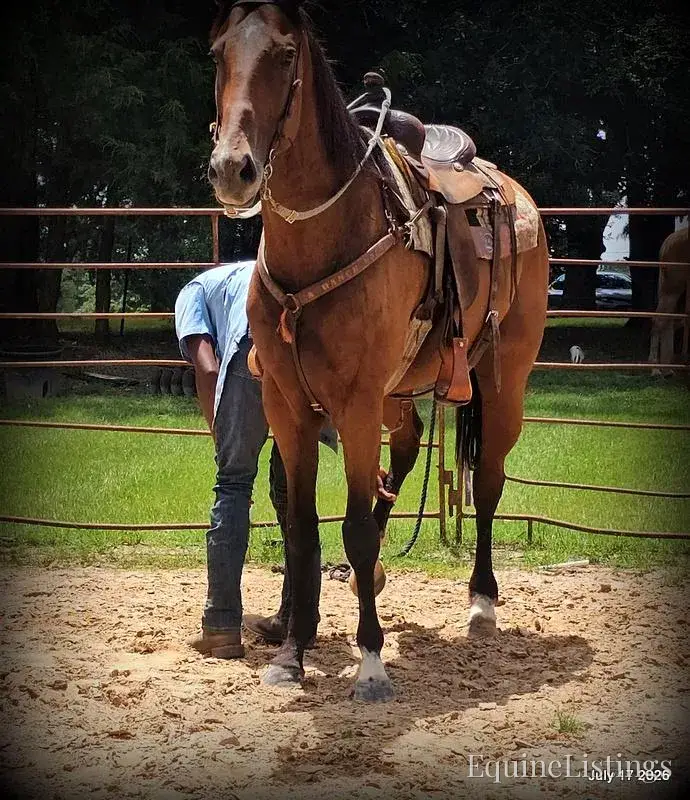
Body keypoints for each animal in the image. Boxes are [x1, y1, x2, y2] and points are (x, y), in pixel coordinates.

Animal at [208, 0, 549, 702]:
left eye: (286, 54)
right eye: (218, 52)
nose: (233, 168)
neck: (326, 239)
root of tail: (512, 193)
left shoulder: (357, 405)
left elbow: (356, 528)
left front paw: (370, 662)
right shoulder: (289, 409)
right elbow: (303, 530)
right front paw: (291, 654)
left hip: (502, 384)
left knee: (488, 483)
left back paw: (482, 602)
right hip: (398, 396)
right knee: (407, 455)